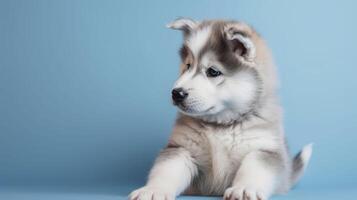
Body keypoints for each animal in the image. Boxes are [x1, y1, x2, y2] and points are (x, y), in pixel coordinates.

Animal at [129, 18, 312, 200]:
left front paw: (244, 188)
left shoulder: (263, 148)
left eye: (213, 72)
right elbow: (167, 170)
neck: (221, 125)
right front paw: (153, 189)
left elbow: (254, 168)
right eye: (188, 66)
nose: (176, 93)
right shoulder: (181, 148)